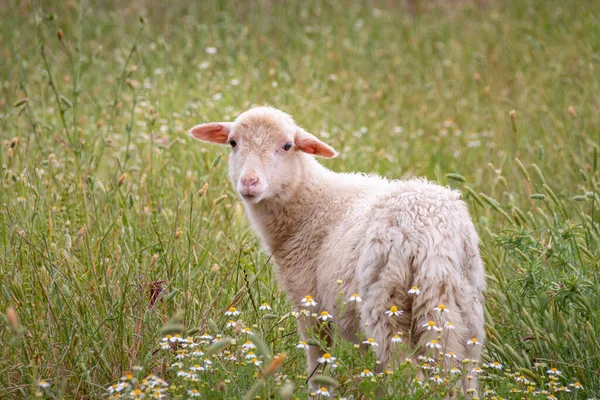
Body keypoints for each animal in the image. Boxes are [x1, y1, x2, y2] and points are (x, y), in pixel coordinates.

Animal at [190, 105, 486, 390]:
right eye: (233, 142)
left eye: (287, 145)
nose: (249, 182)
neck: (310, 203)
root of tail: (431, 230)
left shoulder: (308, 300)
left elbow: (318, 360)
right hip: (458, 309)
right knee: (460, 376)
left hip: (387, 305)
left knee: (411, 378)